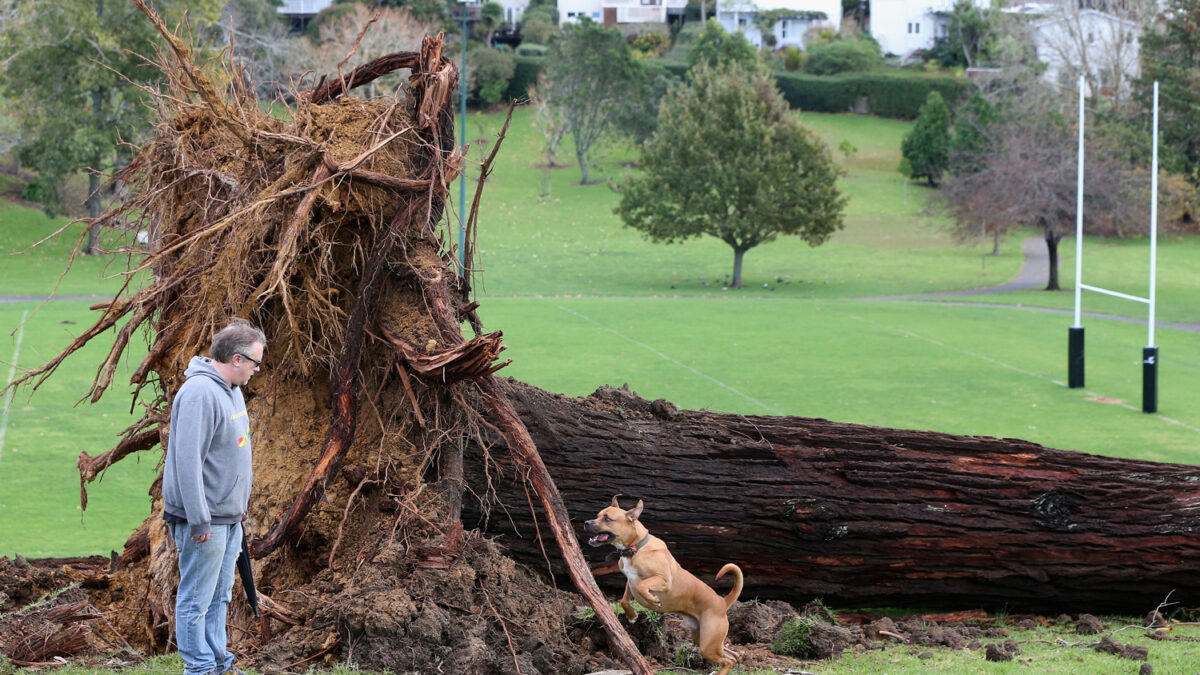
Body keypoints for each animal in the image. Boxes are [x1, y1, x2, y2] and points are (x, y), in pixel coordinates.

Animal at [583, 494, 739, 672]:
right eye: (597, 515)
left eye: (607, 518)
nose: (586, 522)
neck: (635, 548)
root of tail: (722, 602)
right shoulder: (630, 580)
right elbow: (624, 600)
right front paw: (631, 616)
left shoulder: (663, 580)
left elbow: (643, 586)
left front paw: (652, 600)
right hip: (706, 640)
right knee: (734, 655)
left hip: (708, 644)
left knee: (729, 660)